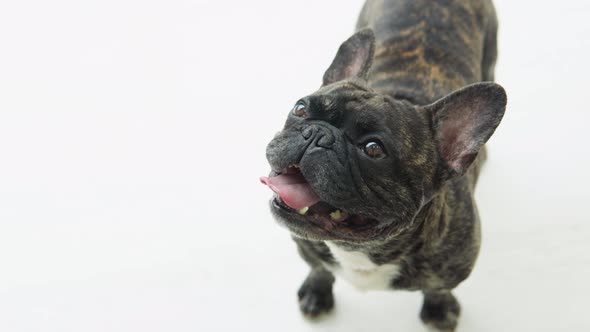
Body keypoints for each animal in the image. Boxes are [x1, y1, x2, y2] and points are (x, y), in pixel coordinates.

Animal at [262, 1, 508, 330]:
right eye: (300, 108)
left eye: (373, 149)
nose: (317, 133)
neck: (359, 251)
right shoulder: (307, 245)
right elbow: (319, 267)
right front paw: (317, 291)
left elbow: (439, 288)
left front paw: (440, 309)